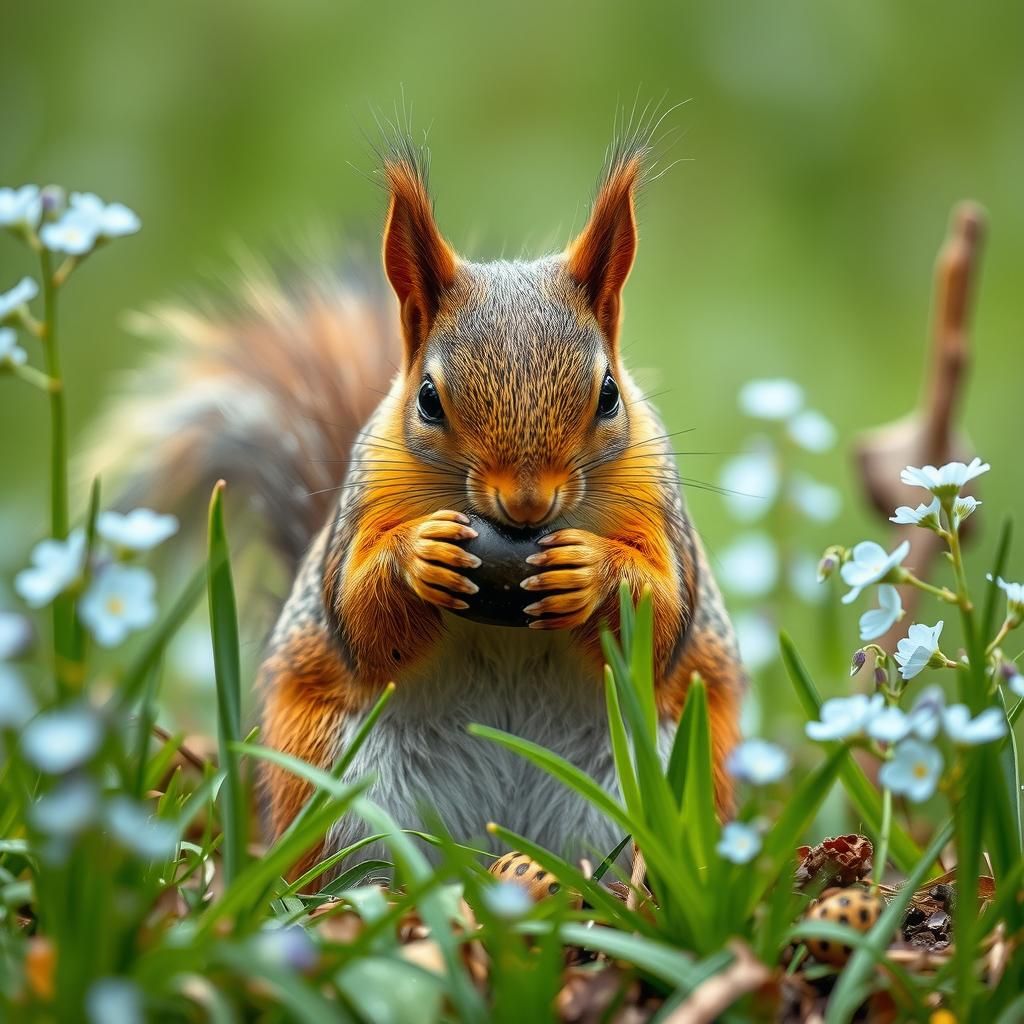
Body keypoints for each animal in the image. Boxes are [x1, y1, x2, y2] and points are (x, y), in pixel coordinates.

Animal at [93, 128, 746, 874]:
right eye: (429, 399)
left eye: (608, 394)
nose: (527, 504)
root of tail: (490, 836)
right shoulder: (366, 498)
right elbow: (359, 619)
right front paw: (418, 558)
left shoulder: (658, 509)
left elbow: (663, 619)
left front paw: (589, 571)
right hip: (336, 773)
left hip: (661, 781)